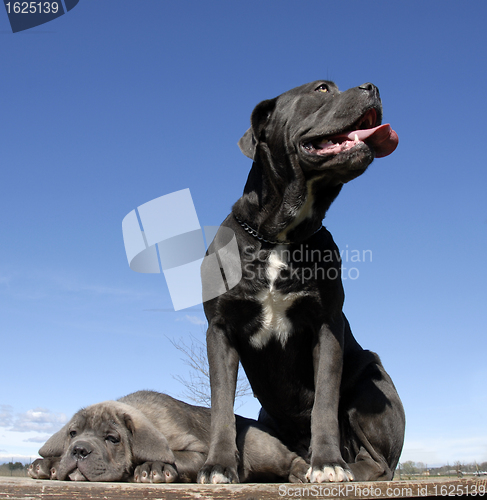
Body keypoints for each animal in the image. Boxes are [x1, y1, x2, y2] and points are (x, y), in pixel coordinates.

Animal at [27, 390, 304, 484]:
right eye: (73, 433)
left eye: (113, 439)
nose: (79, 450)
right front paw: (49, 464)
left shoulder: (199, 452)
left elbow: (176, 458)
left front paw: (153, 467)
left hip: (258, 445)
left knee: (290, 457)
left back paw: (301, 472)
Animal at [198, 81, 408, 484]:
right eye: (322, 88)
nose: (372, 86)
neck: (279, 235)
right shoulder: (220, 329)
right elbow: (221, 405)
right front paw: (218, 466)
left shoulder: (325, 326)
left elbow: (324, 402)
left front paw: (327, 463)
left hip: (371, 384)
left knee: (378, 463)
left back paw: (342, 465)